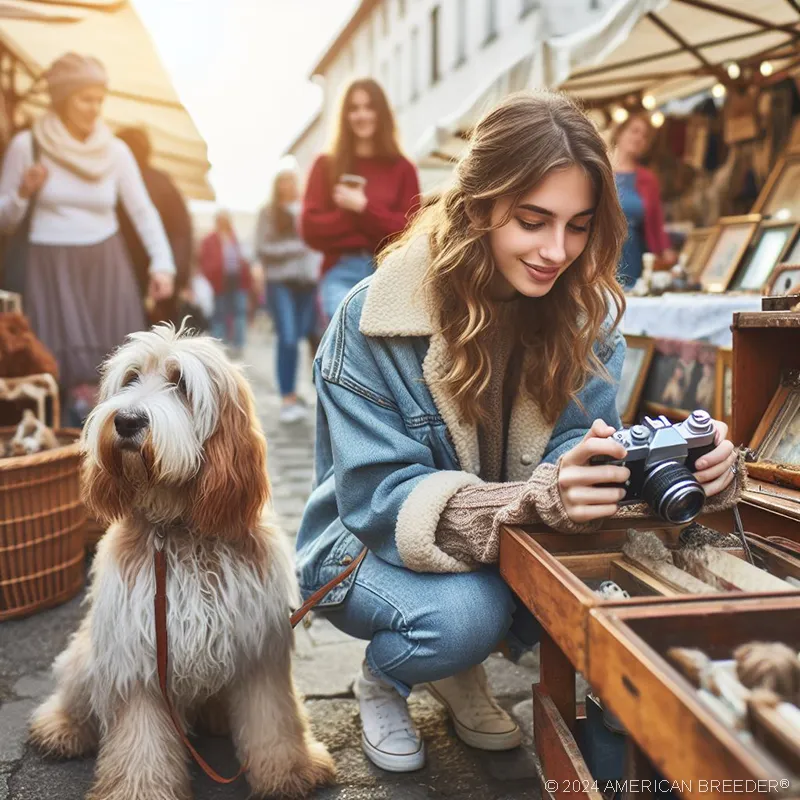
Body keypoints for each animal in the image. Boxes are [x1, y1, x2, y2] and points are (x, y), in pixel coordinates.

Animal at [27, 324, 334, 800]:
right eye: (131, 377)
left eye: (182, 385)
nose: (127, 421)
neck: (178, 530)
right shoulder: (136, 656)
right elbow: (141, 741)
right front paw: (139, 790)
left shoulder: (258, 647)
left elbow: (273, 719)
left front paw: (289, 773)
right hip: (89, 653)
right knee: (74, 696)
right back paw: (60, 729)